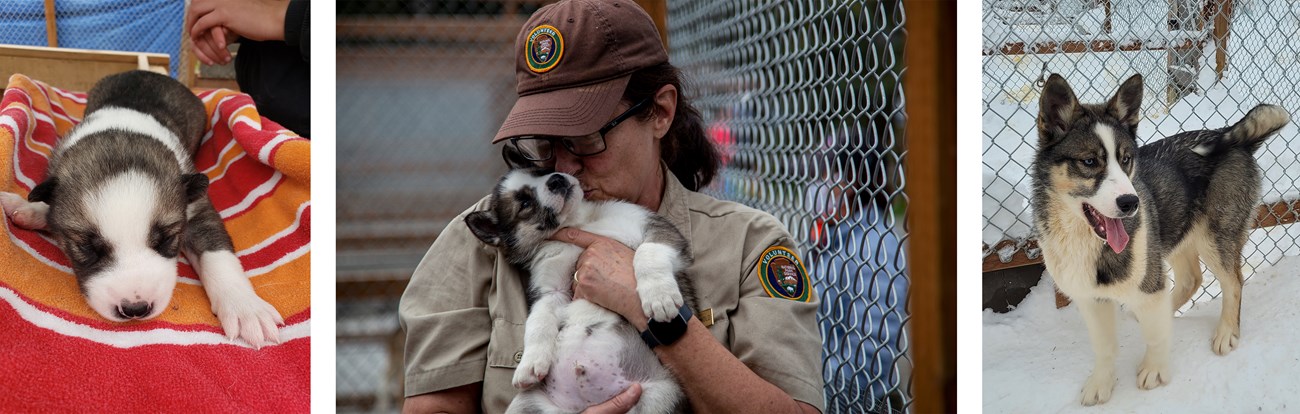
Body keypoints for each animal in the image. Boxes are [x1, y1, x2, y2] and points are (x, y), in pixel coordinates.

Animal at [0, 69, 283, 348]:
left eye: (167, 239)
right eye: (86, 247)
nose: (135, 309)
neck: (124, 134)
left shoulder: (197, 207)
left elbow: (217, 253)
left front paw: (246, 308)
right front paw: (28, 207)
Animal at [465, 167, 696, 414]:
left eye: (541, 171)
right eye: (525, 203)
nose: (556, 180)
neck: (578, 223)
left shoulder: (653, 226)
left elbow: (648, 252)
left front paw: (659, 297)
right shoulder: (551, 291)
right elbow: (538, 323)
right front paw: (530, 363)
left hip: (661, 396)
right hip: (526, 404)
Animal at [1024, 72, 1289, 406]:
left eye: (1126, 159)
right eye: (1089, 162)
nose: (1131, 203)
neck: (1083, 238)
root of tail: (1227, 134)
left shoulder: (1148, 280)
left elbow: (1155, 335)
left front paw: (1154, 369)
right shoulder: (1091, 298)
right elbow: (1104, 347)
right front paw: (1101, 383)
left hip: (1215, 236)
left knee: (1233, 282)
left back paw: (1227, 332)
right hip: (1173, 233)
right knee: (1190, 280)